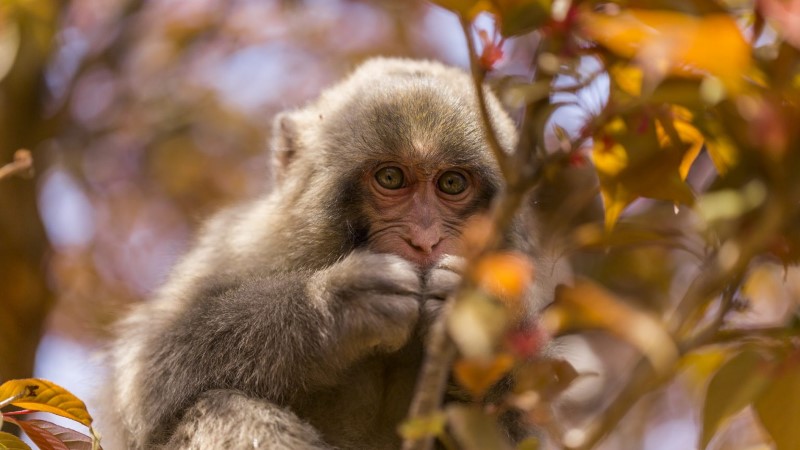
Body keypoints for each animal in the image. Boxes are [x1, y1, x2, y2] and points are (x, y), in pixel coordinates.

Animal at [103, 58, 560, 448]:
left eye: (451, 183)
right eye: (391, 178)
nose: (424, 239)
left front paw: (485, 313)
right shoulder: (241, 245)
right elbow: (146, 379)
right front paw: (334, 305)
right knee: (223, 406)